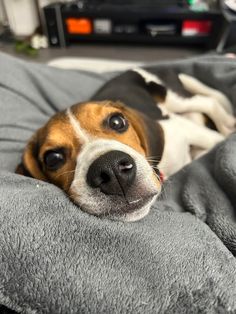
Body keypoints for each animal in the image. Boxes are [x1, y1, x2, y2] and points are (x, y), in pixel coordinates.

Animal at [15, 68, 235, 222]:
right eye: (53, 158)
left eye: (117, 122)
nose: (112, 170)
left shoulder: (186, 129)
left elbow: (213, 140)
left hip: (176, 98)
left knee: (208, 102)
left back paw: (227, 124)